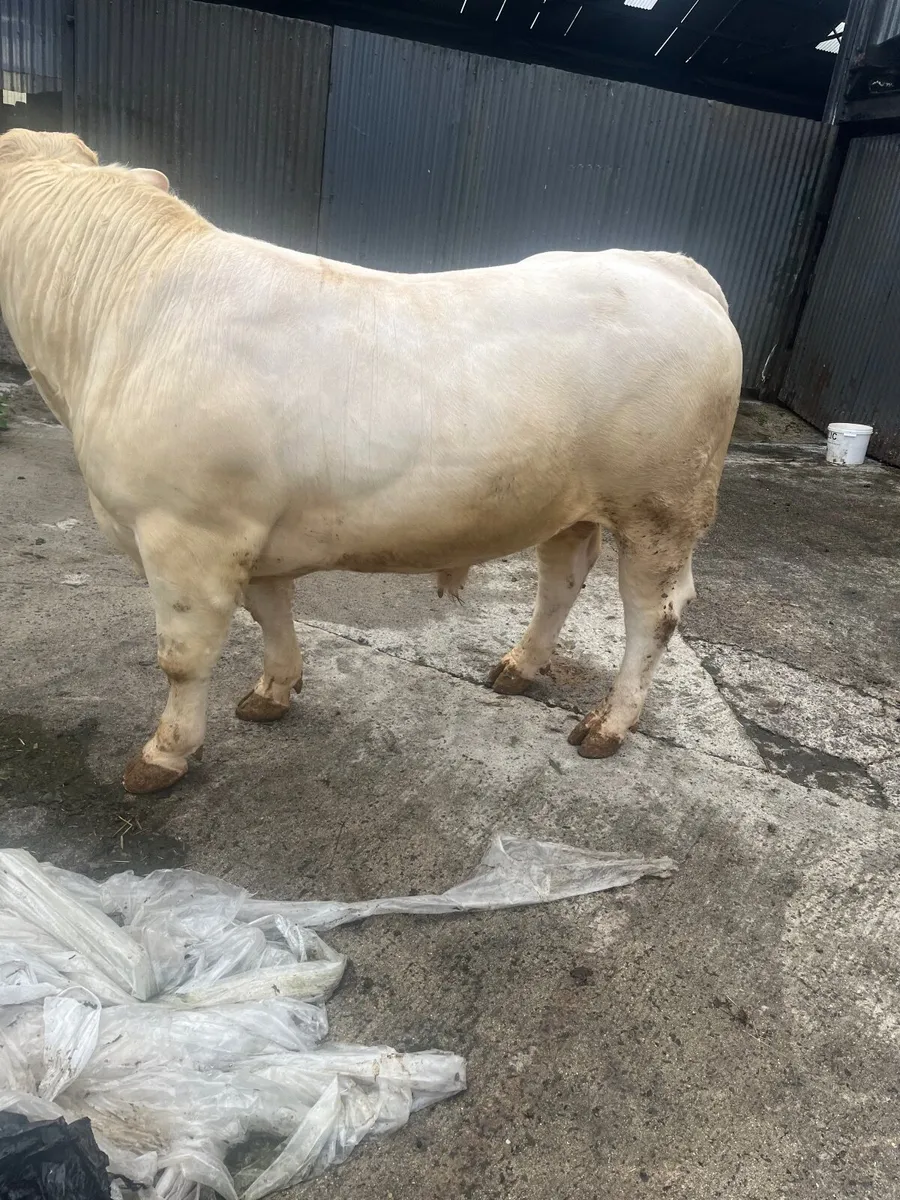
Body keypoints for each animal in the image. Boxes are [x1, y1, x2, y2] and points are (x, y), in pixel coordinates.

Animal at [0, 129, 742, 794]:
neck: (118, 324)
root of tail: (668, 267)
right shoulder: (248, 528)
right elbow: (270, 610)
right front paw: (274, 690)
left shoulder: (187, 533)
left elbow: (182, 658)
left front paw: (165, 754)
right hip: (569, 500)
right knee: (562, 578)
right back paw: (519, 666)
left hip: (661, 507)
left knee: (655, 612)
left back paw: (608, 724)